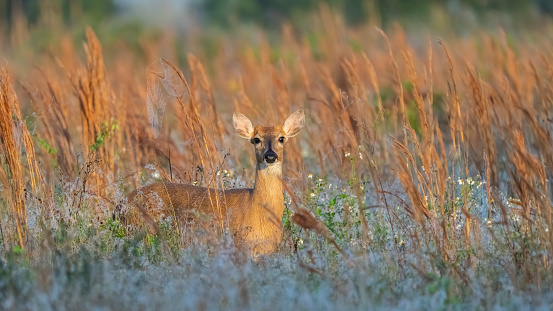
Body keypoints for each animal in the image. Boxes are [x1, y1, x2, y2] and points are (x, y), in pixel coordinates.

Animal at [118, 109, 304, 256]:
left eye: (282, 138)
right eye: (256, 139)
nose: (270, 156)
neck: (256, 208)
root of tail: (121, 204)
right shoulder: (239, 246)